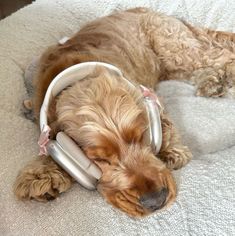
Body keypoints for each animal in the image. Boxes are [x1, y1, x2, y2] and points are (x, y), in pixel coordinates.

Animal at [14, 7, 235, 218]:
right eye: (99, 159)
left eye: (143, 136)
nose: (156, 201)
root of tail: (150, 10)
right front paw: (41, 174)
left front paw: (171, 151)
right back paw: (211, 81)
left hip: (173, 45)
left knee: (219, 55)